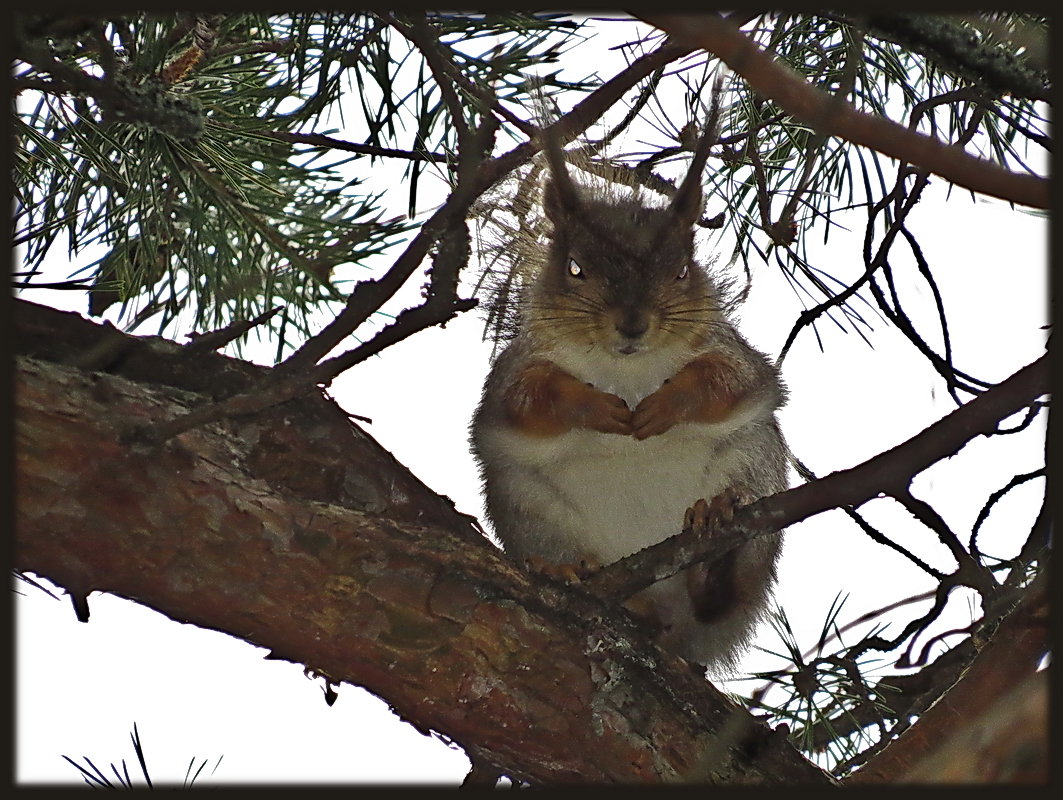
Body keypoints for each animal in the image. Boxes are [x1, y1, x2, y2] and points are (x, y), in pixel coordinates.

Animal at [469, 126, 786, 675]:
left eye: (682, 270)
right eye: (574, 267)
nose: (632, 324)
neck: (627, 367)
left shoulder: (732, 355)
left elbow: (725, 381)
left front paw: (667, 404)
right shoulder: (515, 372)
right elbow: (530, 400)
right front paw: (593, 407)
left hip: (755, 468)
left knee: (719, 596)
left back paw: (712, 545)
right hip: (527, 506)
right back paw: (569, 571)